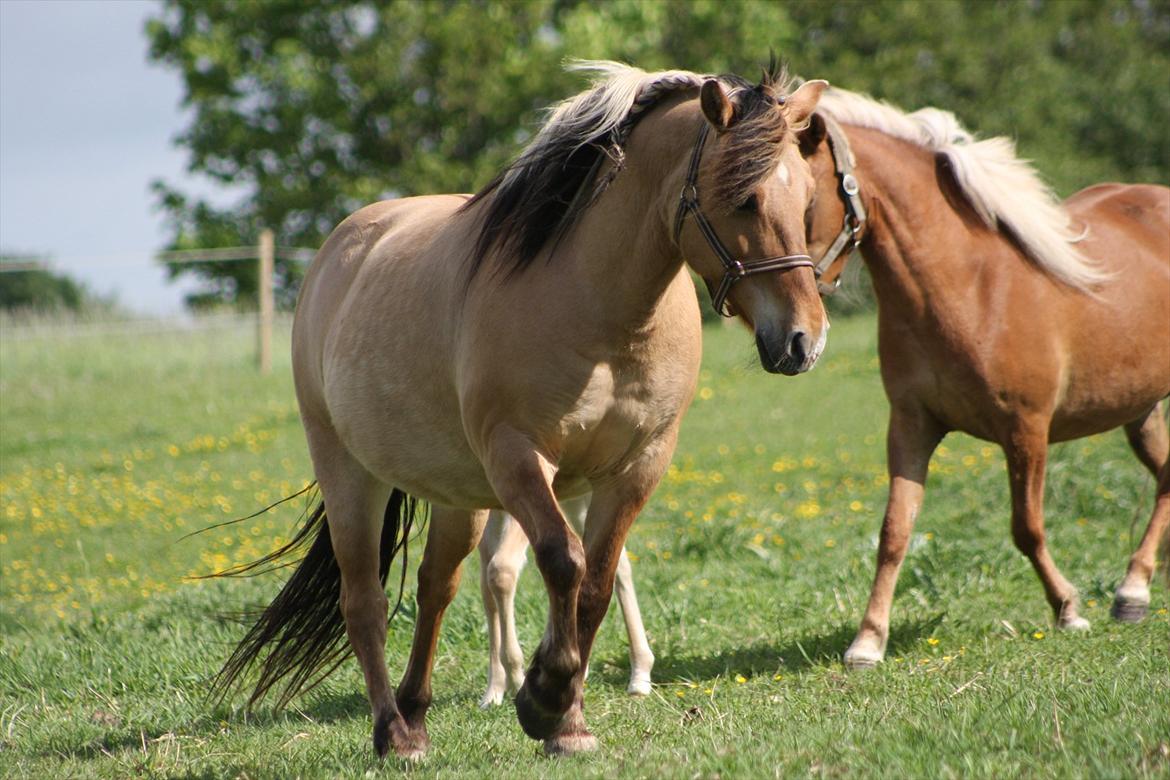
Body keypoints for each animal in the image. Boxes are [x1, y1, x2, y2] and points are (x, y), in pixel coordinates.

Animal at [210, 64, 833, 757]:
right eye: (743, 198)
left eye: (809, 197)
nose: (803, 340)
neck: (598, 307)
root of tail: (339, 251)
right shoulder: (519, 457)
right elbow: (564, 562)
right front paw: (543, 698)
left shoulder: (637, 467)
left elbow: (596, 584)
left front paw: (569, 720)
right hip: (349, 472)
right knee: (364, 601)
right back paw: (394, 732)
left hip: (458, 496)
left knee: (437, 586)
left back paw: (417, 712)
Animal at [795, 88, 1170, 668]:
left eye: (801, 197)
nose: (794, 321)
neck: (967, 285)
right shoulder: (912, 425)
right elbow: (894, 532)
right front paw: (868, 641)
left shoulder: (1026, 429)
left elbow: (1027, 528)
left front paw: (1068, 610)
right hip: (1140, 409)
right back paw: (1134, 592)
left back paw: (1130, 592)